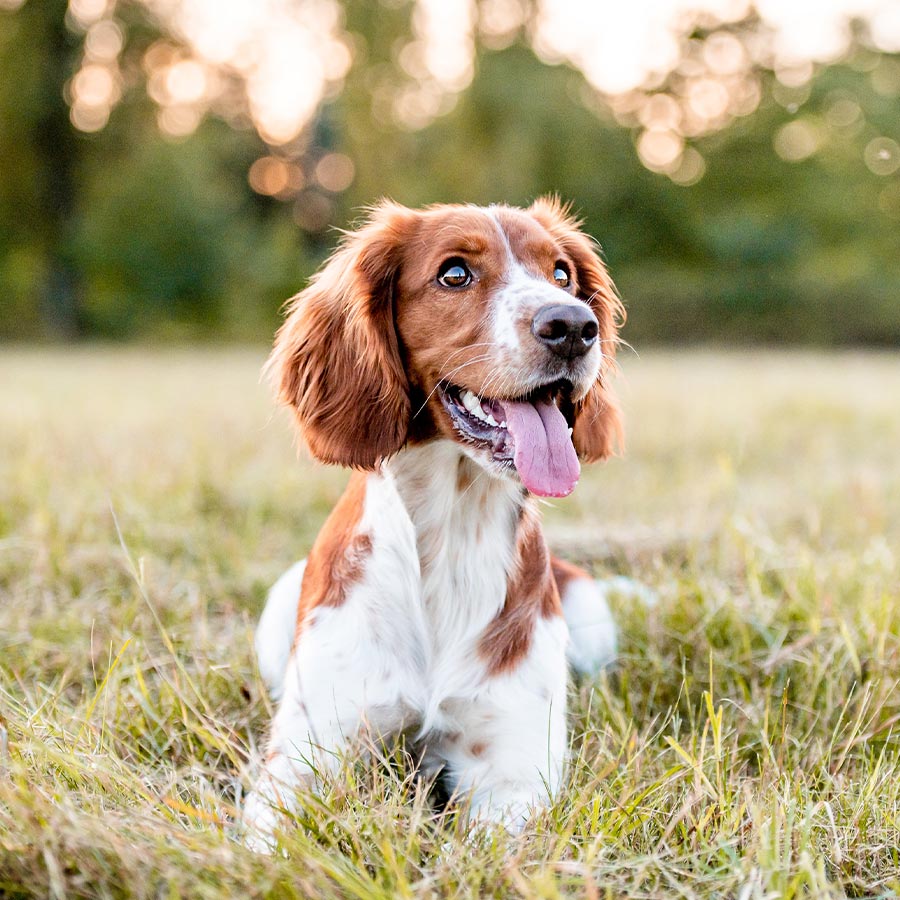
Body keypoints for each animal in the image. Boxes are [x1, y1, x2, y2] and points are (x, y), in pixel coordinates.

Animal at [243, 197, 628, 852]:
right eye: (454, 274)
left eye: (561, 274)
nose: (574, 326)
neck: (452, 533)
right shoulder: (301, 758)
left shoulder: (512, 771)